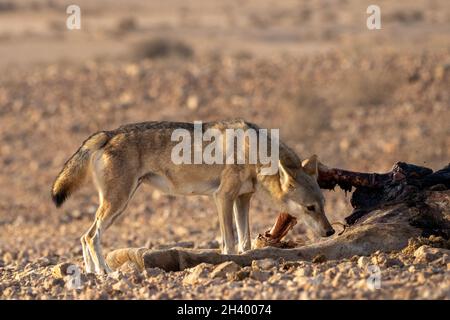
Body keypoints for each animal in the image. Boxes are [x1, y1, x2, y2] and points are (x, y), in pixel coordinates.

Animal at [52, 119, 334, 274]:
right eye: (310, 208)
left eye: (323, 205)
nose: (331, 231)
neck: (253, 151)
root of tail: (109, 132)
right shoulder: (223, 197)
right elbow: (230, 243)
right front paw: (228, 263)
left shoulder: (243, 200)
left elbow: (245, 243)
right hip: (118, 204)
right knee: (91, 236)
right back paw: (106, 271)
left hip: (118, 203)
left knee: (84, 236)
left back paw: (91, 273)